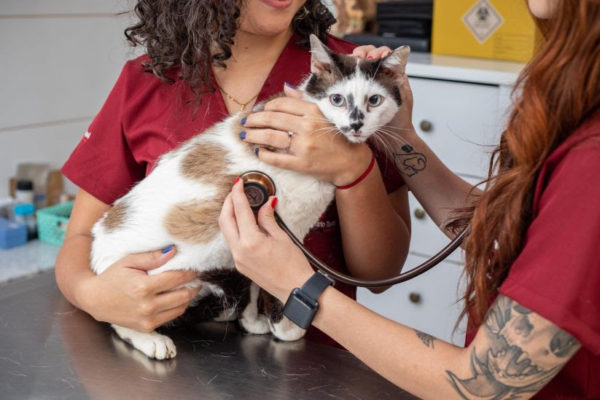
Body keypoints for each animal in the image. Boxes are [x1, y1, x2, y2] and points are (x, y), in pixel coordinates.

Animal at [90, 35, 408, 360]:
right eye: (337, 100)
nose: (356, 125)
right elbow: (276, 285)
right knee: (119, 315)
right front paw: (286, 328)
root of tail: (98, 242)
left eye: (374, 100)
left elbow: (258, 283)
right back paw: (150, 339)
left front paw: (253, 322)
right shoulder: (286, 229)